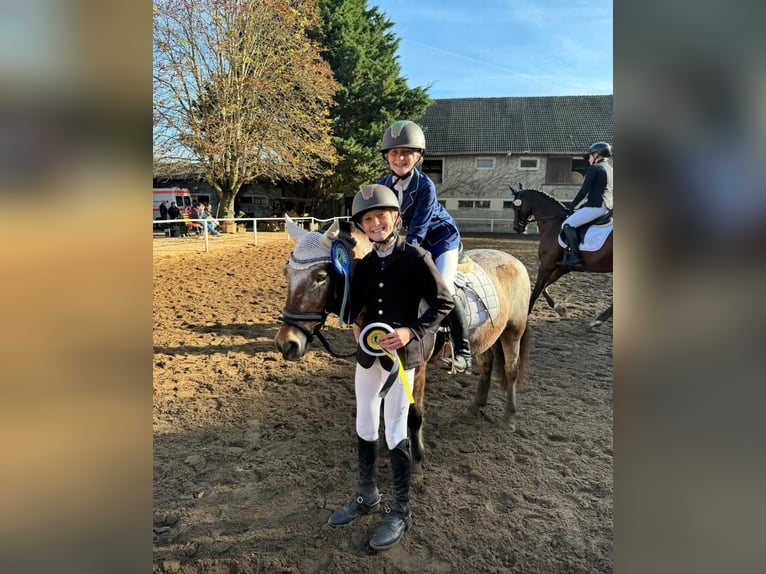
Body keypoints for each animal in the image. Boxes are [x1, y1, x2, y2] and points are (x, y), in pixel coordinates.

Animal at [276, 216, 536, 472]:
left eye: (321, 277)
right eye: (286, 273)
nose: (286, 344)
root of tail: (512, 259)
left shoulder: (416, 366)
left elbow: (414, 412)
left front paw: (417, 460)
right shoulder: (378, 360)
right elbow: (383, 405)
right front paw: (384, 450)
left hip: (513, 331)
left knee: (511, 371)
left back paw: (509, 419)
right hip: (488, 336)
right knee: (487, 364)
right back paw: (476, 405)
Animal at [512, 184, 616, 328]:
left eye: (515, 206)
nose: (517, 228)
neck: (553, 223)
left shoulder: (546, 265)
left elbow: (537, 289)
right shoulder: (561, 267)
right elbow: (544, 286)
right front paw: (559, 308)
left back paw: (598, 320)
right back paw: (598, 320)